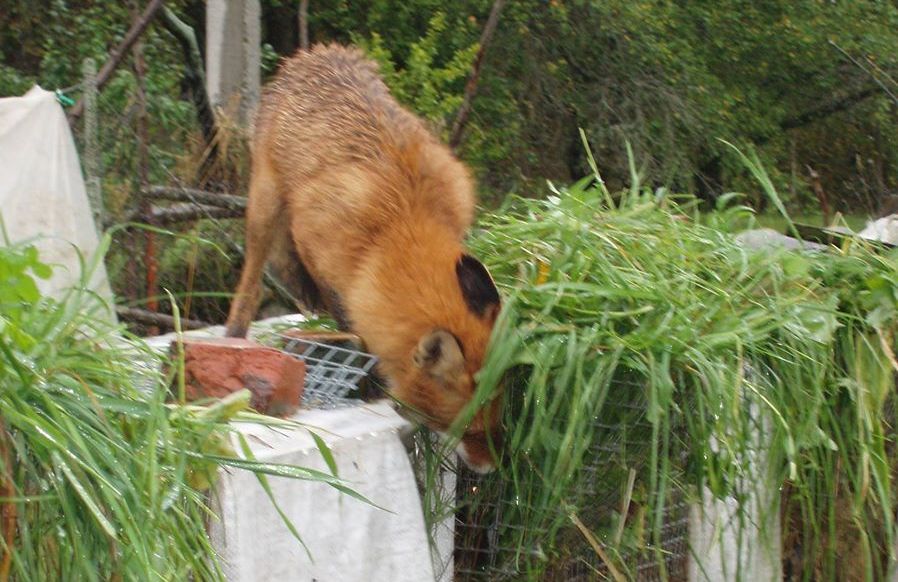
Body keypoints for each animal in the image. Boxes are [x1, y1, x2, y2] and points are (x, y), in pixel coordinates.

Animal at [224, 45, 500, 474]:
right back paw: (235, 334)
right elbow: (349, 322)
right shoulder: (316, 245)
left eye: (497, 422)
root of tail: (315, 54)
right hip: (264, 207)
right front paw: (371, 380)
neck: (399, 220)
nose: (493, 468)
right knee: (251, 281)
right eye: (466, 429)